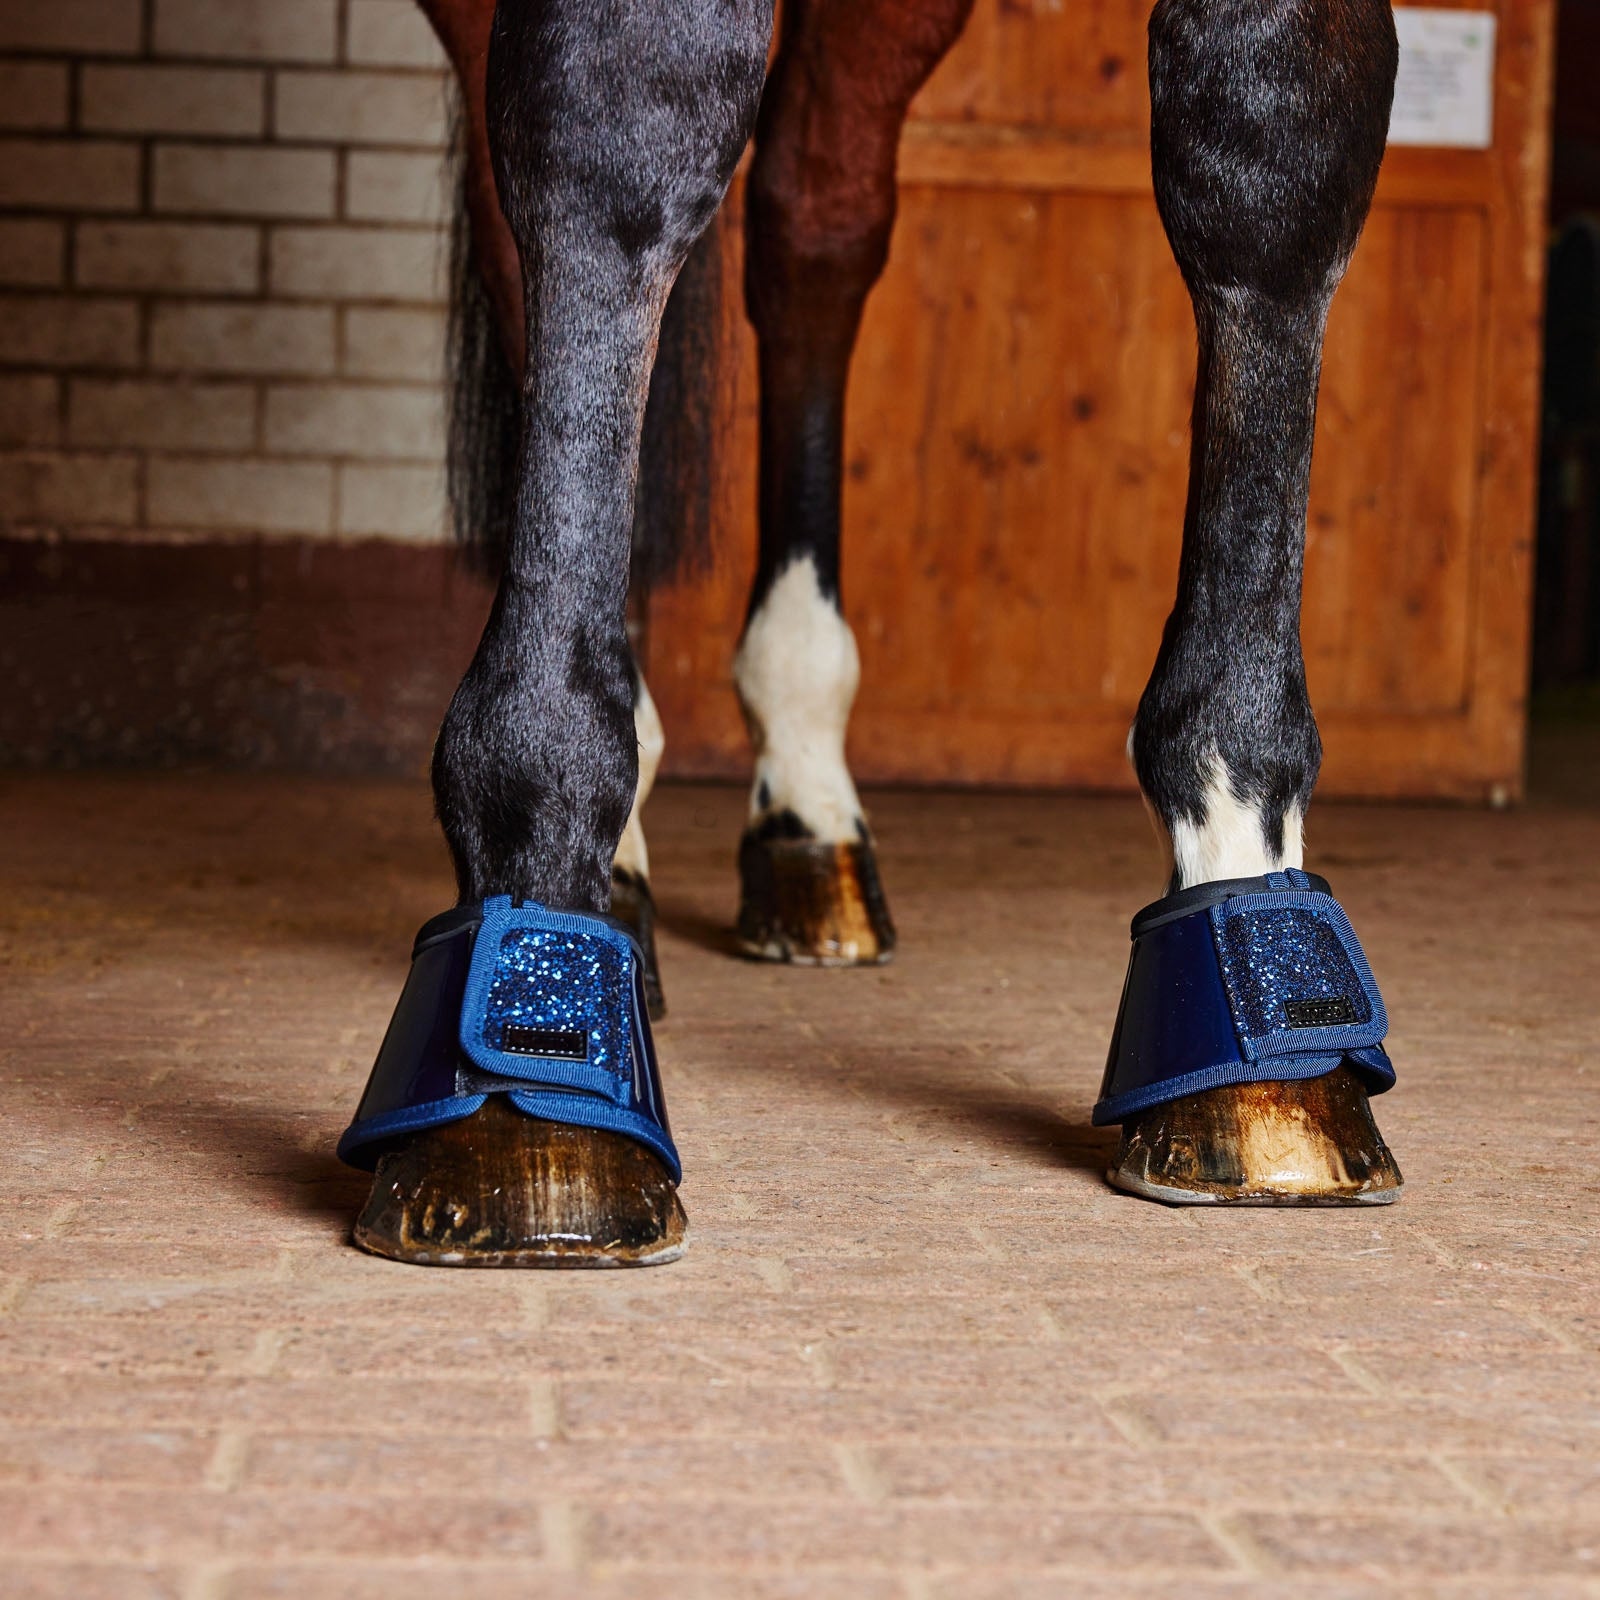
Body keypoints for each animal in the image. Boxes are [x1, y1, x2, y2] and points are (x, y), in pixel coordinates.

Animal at [335, 0, 1406, 1265]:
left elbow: (1276, 165)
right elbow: (618, 129)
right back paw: (620, 866)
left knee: (812, 231)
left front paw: (1244, 868)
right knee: (543, 253)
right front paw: (537, 863)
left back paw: (806, 797)